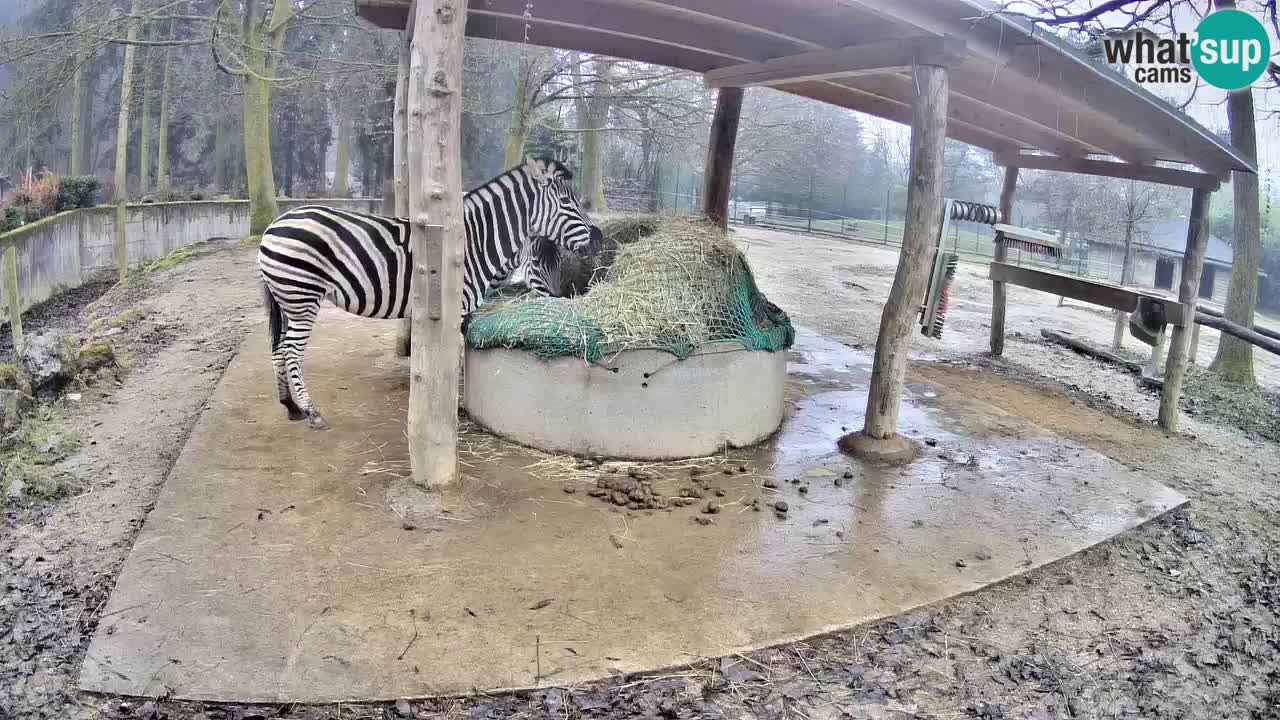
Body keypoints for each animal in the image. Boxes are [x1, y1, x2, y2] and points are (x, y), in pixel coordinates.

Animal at [257, 157, 601, 430]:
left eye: (558, 263)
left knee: (277, 349)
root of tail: (273, 225)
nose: (598, 238)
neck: (476, 243)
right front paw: (451, 406)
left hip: (287, 300)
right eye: (568, 204)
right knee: (291, 351)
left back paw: (290, 407)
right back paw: (311, 412)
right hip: (303, 297)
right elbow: (456, 358)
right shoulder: (456, 307)